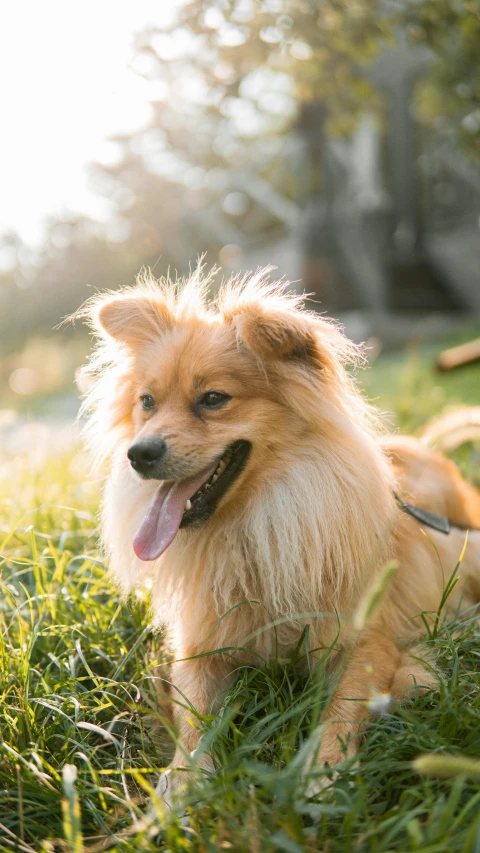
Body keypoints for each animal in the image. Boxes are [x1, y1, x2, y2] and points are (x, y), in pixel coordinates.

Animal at [80, 266, 480, 804]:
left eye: (213, 400)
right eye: (147, 402)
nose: (138, 454)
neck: (251, 525)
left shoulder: (364, 639)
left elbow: (344, 705)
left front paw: (324, 769)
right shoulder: (200, 649)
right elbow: (194, 718)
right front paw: (185, 782)